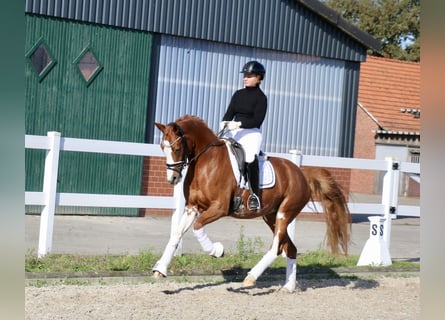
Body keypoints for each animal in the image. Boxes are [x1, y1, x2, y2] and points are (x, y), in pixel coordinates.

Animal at [153, 115, 350, 292]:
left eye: (177, 148)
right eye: (162, 147)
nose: (172, 179)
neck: (206, 161)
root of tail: (302, 174)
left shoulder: (219, 208)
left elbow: (198, 227)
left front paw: (217, 250)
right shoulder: (192, 207)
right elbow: (177, 233)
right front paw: (160, 269)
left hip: (285, 213)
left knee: (276, 247)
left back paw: (251, 278)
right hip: (271, 216)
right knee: (290, 248)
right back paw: (288, 287)